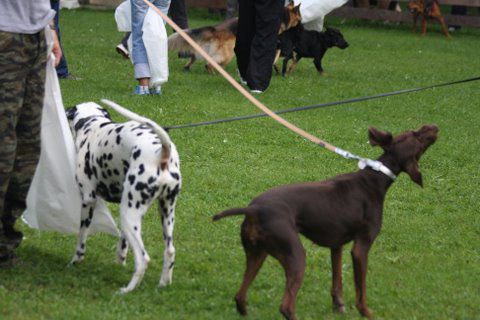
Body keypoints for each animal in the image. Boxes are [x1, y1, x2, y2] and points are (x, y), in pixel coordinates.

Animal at [64, 99, 181, 292]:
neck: (93, 126)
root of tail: (161, 152)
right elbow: (123, 243)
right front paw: (120, 261)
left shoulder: (88, 201)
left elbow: (81, 239)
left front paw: (75, 261)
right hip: (164, 214)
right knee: (170, 251)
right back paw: (163, 284)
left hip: (129, 214)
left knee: (143, 259)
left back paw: (127, 290)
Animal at [169, 2, 300, 73]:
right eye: (299, 19)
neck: (285, 16)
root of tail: (215, 29)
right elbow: (274, 56)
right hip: (228, 53)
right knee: (209, 64)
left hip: (205, 49)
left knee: (194, 58)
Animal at [214, 125, 438, 320]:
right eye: (416, 135)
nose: (434, 127)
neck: (376, 178)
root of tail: (254, 209)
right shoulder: (361, 248)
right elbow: (361, 292)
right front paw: (366, 313)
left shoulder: (336, 244)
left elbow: (337, 281)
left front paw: (338, 306)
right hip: (295, 256)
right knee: (286, 306)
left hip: (257, 254)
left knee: (240, 296)